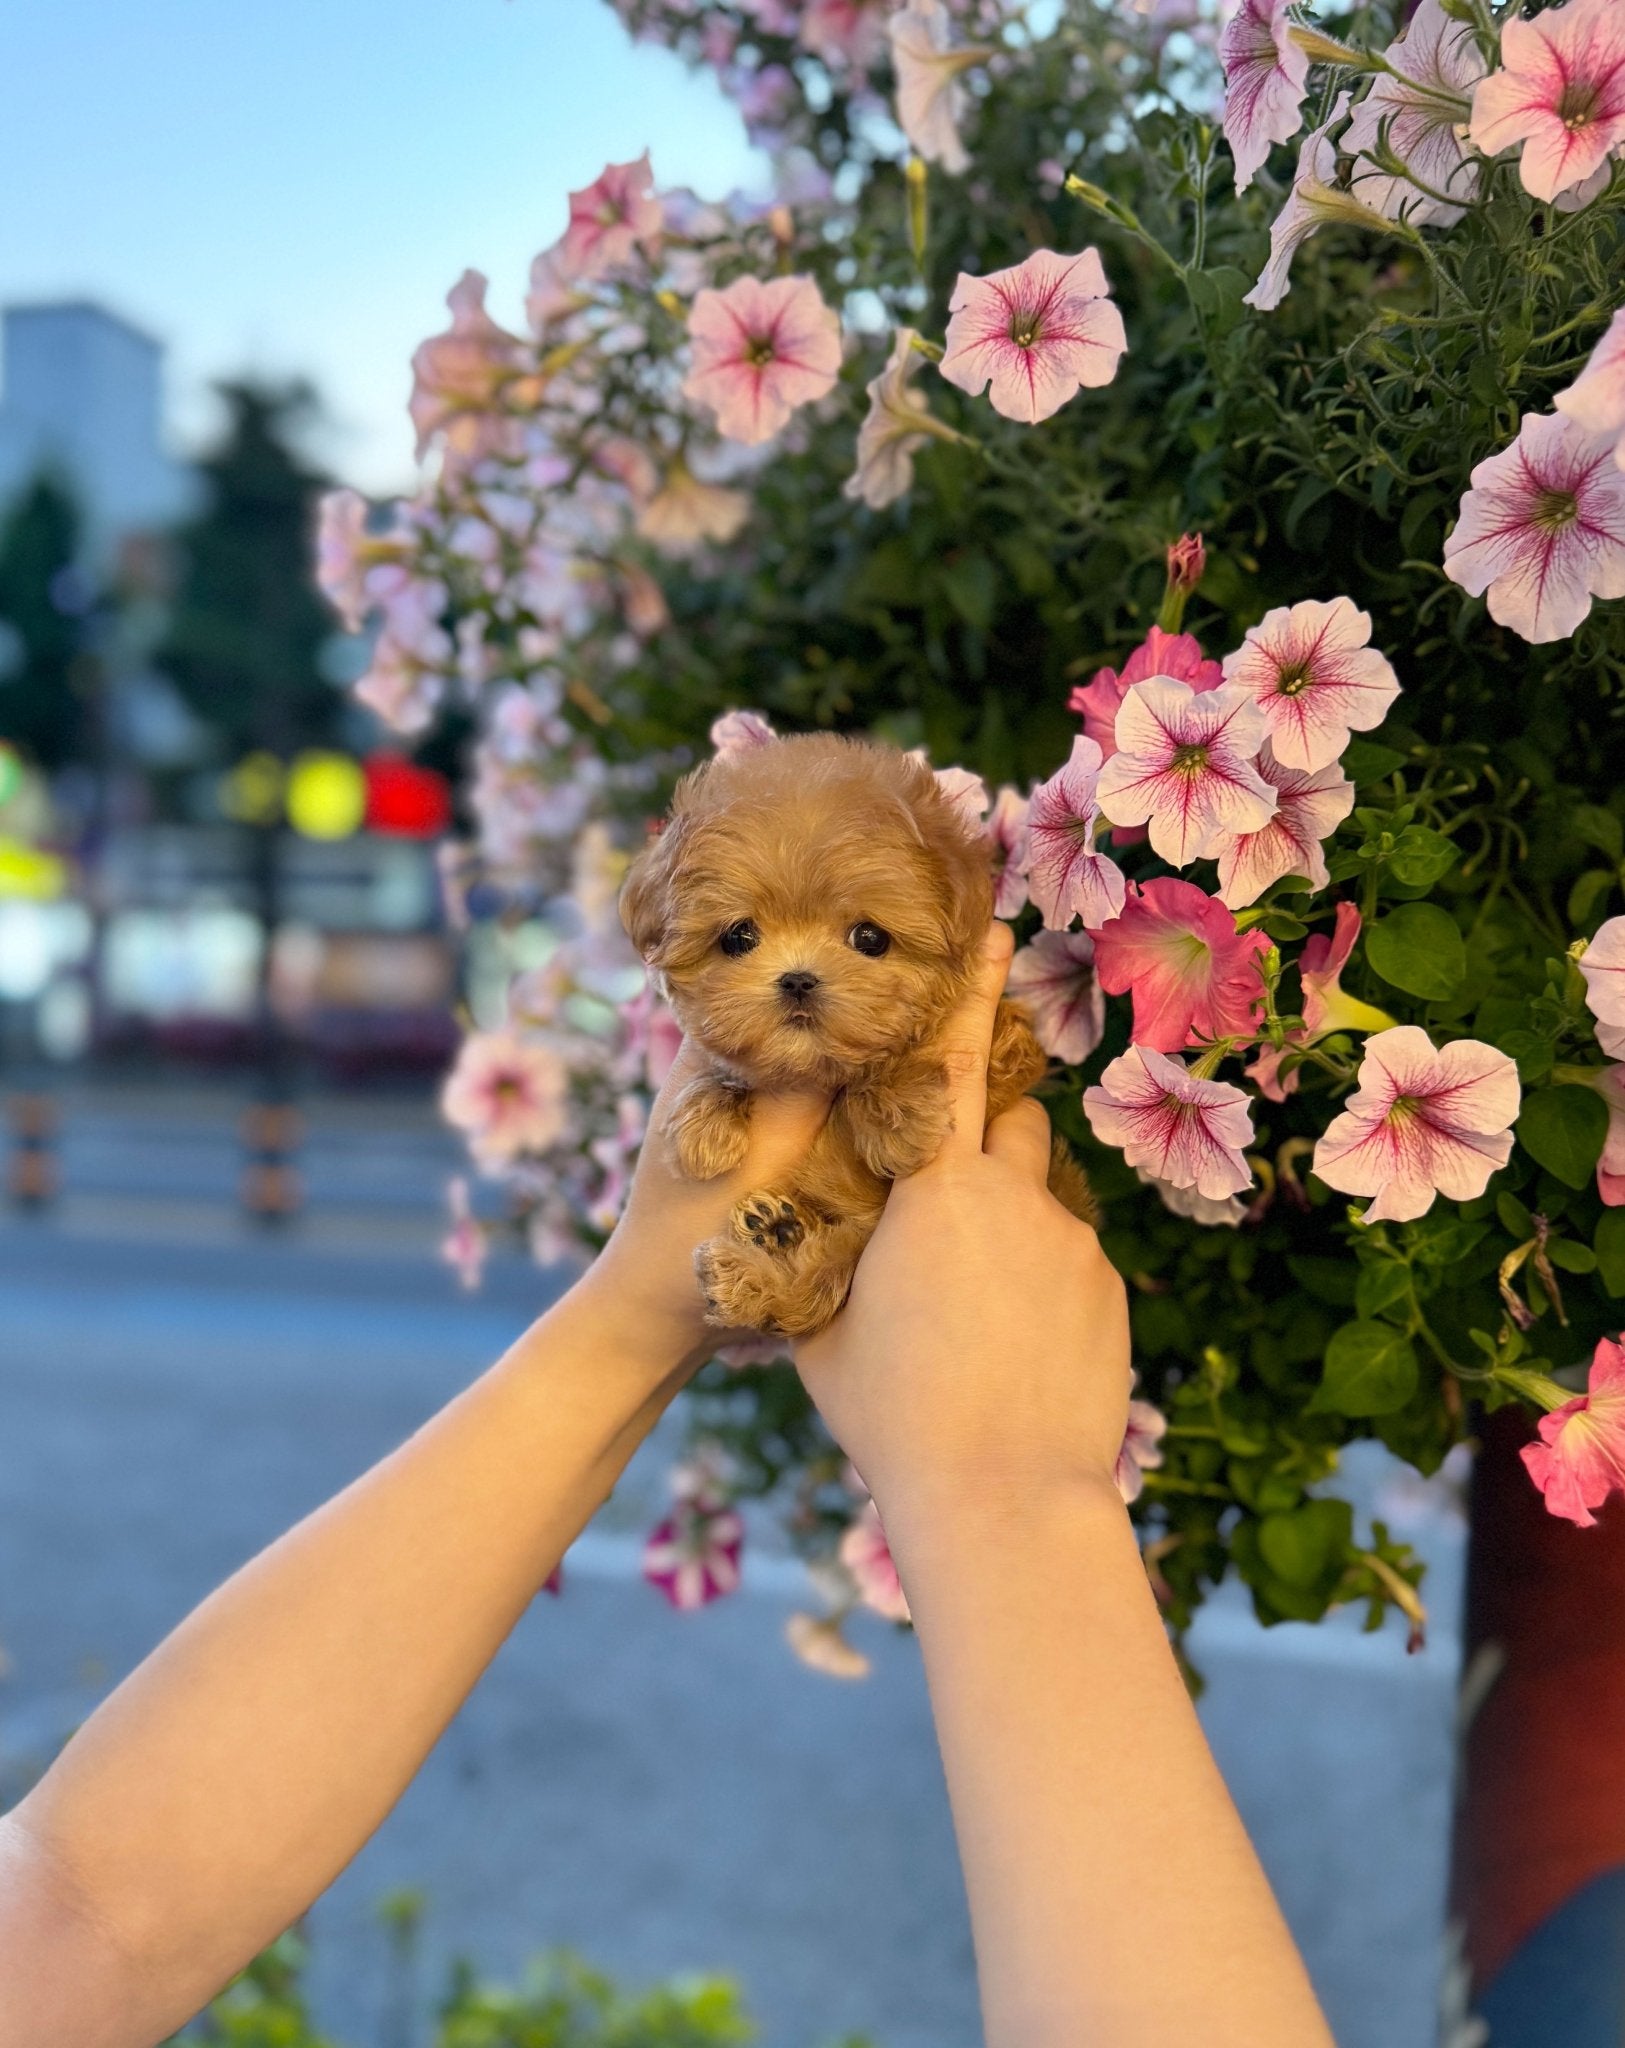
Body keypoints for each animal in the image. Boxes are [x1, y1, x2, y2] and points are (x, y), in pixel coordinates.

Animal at [618, 737, 1090, 1343]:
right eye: (738, 937)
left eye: (870, 938)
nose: (798, 979)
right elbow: (720, 1063)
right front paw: (703, 1125)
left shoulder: (1007, 1049)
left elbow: (917, 1055)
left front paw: (897, 1117)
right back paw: (765, 1247)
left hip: (852, 1256)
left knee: (815, 1289)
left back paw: (760, 1259)